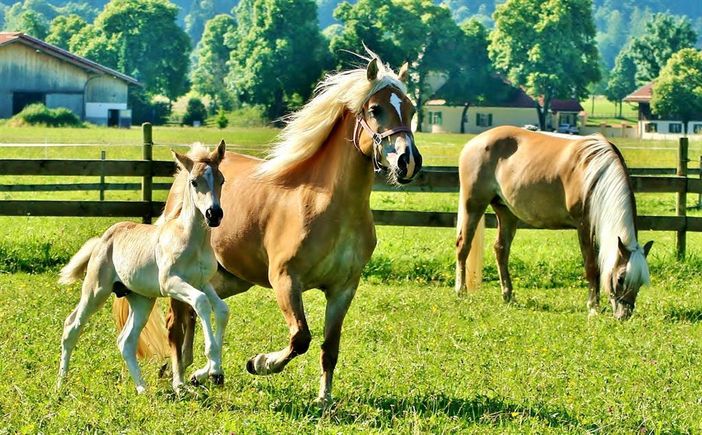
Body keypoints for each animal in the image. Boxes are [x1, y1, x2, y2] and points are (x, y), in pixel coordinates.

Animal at [58, 141, 228, 394]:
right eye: (194, 182)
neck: (193, 241)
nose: (213, 214)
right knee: (71, 327)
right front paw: (212, 368)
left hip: (141, 300)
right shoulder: (171, 283)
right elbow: (201, 303)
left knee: (126, 341)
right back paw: (60, 385)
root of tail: (103, 239)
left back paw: (142, 390)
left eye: (222, 180)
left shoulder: (202, 282)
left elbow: (222, 310)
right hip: (96, 291)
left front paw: (214, 369)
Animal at [117, 55, 424, 406]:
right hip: (184, 276)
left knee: (197, 315)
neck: (327, 205)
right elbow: (300, 338)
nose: (408, 162)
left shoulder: (343, 288)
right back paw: (183, 376)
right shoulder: (285, 280)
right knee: (175, 323)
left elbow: (329, 348)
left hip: (229, 279)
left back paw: (199, 373)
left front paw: (324, 400)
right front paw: (260, 363)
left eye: (411, 109)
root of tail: (188, 168)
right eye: (375, 109)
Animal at [456, 126, 656, 320]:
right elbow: (592, 266)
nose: (624, 315)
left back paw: (508, 296)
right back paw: (461, 291)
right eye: (621, 278)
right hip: (473, 205)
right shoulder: (584, 225)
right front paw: (593, 308)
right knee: (463, 246)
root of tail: (474, 143)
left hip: (505, 212)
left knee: (501, 250)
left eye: (640, 282)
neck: (594, 173)